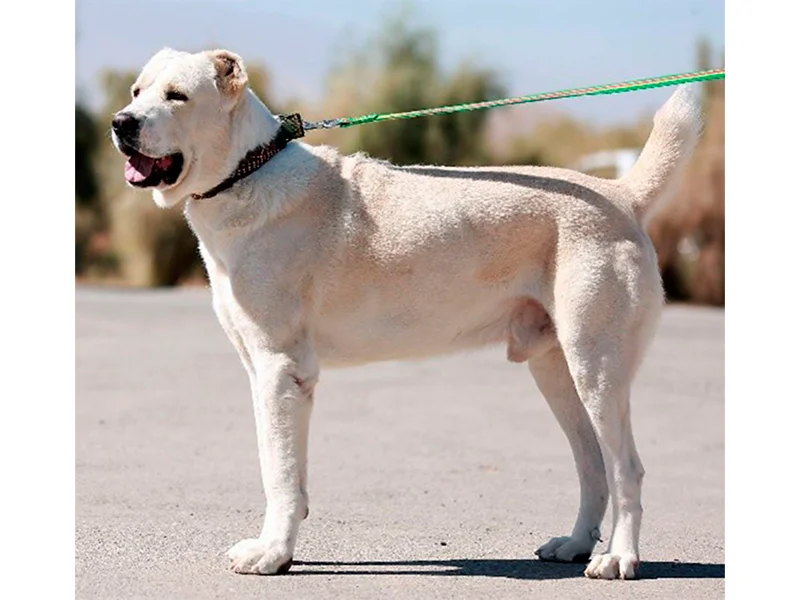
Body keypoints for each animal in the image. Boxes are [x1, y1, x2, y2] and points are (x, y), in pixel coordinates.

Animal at [111, 48, 700, 580]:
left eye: (177, 96)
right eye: (137, 92)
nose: (120, 122)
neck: (245, 173)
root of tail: (621, 193)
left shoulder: (280, 369)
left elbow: (276, 470)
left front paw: (273, 555)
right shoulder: (264, 372)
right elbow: (286, 468)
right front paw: (284, 540)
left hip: (596, 368)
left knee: (626, 469)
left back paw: (619, 559)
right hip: (556, 371)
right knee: (593, 465)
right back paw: (576, 544)